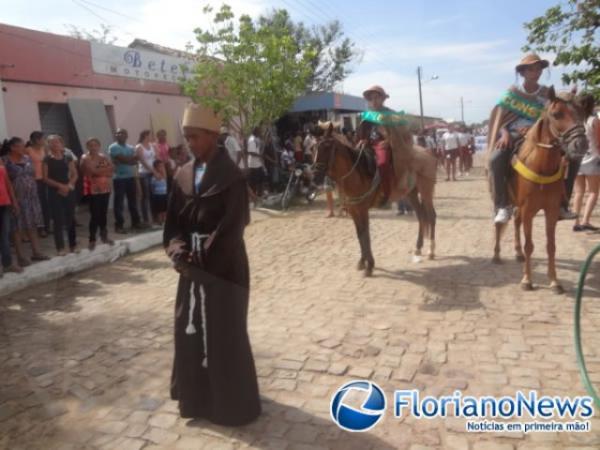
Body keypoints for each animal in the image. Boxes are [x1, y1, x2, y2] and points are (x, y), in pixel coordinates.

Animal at [314, 125, 436, 276]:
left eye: (326, 147)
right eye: (314, 147)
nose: (315, 176)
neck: (356, 174)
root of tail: (428, 152)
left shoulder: (362, 210)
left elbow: (365, 235)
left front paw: (370, 265)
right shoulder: (353, 210)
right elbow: (360, 235)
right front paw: (362, 262)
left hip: (426, 190)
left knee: (431, 216)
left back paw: (431, 251)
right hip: (411, 193)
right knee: (421, 216)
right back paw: (418, 248)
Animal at [492, 89, 584, 294]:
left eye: (580, 111)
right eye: (556, 114)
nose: (581, 144)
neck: (541, 167)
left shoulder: (550, 210)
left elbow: (551, 246)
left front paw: (555, 281)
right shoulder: (528, 210)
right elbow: (530, 245)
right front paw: (527, 280)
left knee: (515, 222)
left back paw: (517, 253)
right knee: (499, 225)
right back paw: (496, 255)